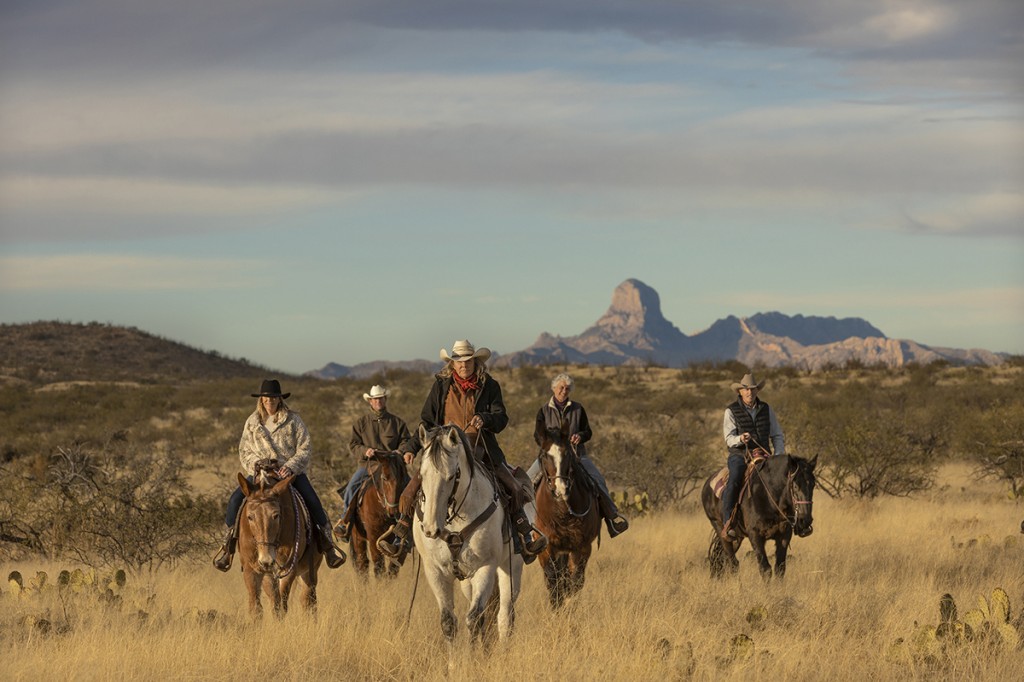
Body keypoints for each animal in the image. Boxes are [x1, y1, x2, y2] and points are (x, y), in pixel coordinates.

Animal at [237, 466, 321, 614]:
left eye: (276, 515)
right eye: (250, 517)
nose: (266, 560)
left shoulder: (288, 569)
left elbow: (282, 605)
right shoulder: (252, 569)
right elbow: (257, 607)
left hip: (309, 573)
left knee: (308, 601)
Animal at [346, 448, 405, 577]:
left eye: (403, 479)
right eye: (384, 478)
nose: (394, 512)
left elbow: (394, 568)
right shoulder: (373, 536)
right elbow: (378, 566)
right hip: (358, 538)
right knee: (362, 563)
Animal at [411, 421, 528, 638]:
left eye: (451, 476)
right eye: (421, 474)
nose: (431, 529)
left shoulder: (485, 567)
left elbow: (474, 618)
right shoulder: (435, 571)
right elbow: (448, 621)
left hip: (511, 567)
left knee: (504, 615)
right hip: (467, 581)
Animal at [532, 421, 602, 606]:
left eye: (568, 453)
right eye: (544, 455)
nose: (561, 489)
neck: (562, 513)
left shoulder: (582, 547)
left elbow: (574, 583)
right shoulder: (547, 548)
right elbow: (553, 583)